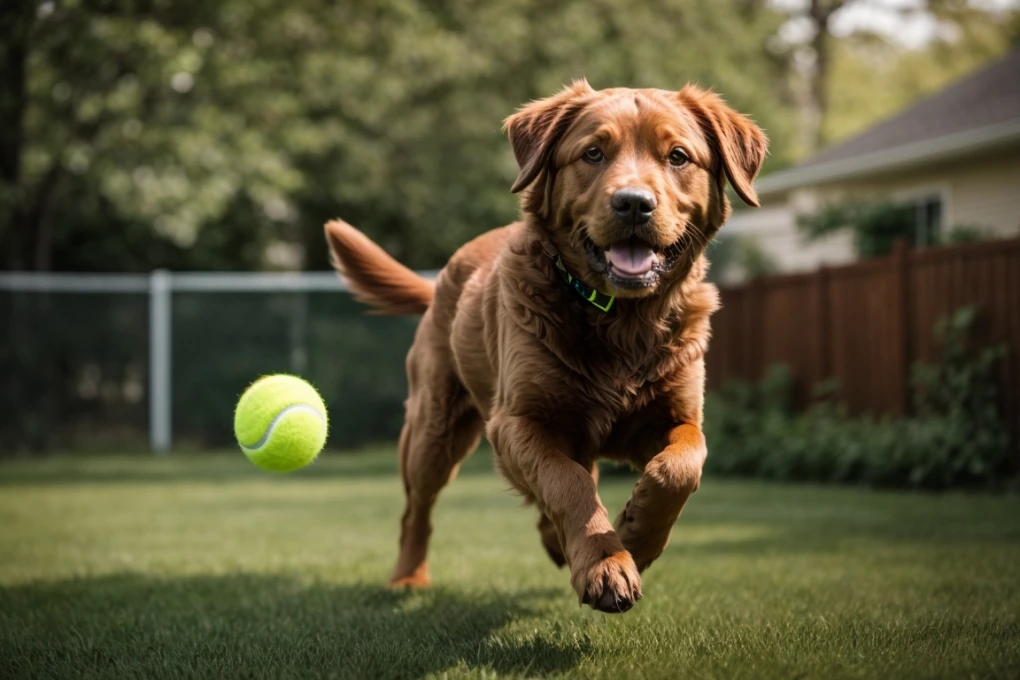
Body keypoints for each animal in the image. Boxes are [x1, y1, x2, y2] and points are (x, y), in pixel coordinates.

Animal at [326, 78, 767, 611]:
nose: (633, 203)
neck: (622, 319)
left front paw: (636, 536)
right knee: (418, 510)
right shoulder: (517, 422)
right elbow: (566, 482)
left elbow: (681, 467)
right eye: (593, 153)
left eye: (678, 156)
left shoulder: (674, 417)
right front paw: (606, 563)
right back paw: (409, 577)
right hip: (434, 430)